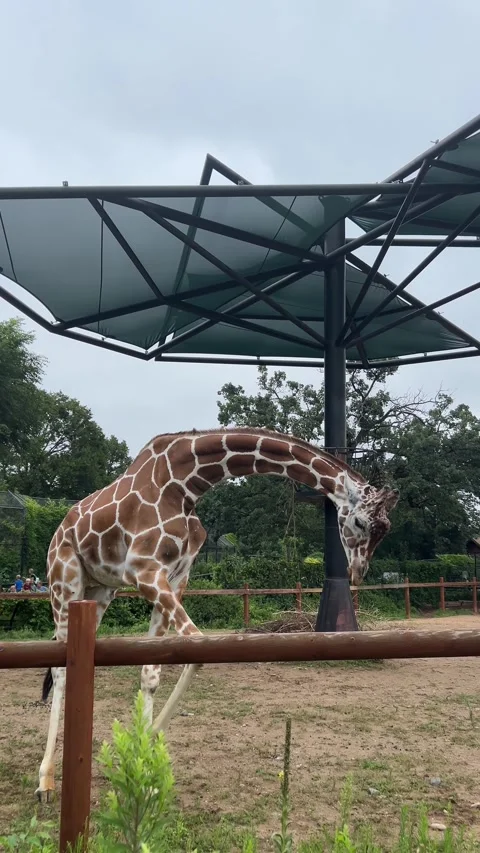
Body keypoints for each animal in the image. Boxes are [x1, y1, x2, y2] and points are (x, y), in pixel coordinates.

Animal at [36, 427, 399, 802]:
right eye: (360, 521)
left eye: (385, 529)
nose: (358, 572)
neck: (185, 485)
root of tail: (59, 530)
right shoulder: (144, 572)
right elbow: (196, 649)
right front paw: (142, 762)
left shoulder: (175, 577)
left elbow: (150, 673)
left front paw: (142, 767)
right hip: (64, 579)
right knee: (60, 669)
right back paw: (45, 781)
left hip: (100, 590)